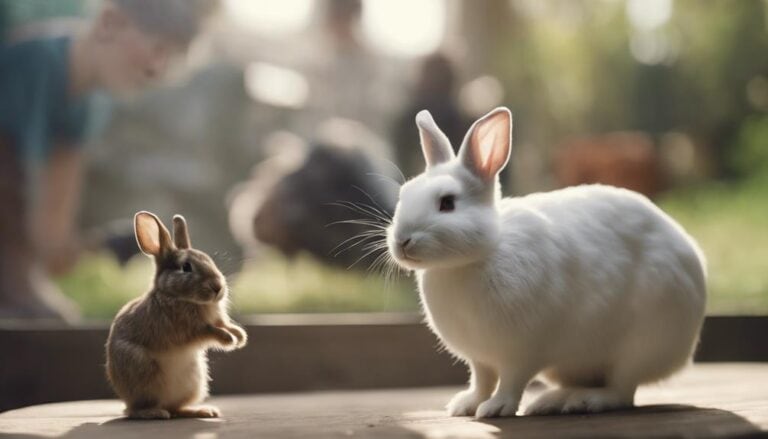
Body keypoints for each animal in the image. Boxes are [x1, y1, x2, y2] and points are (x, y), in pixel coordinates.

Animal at [105, 211, 247, 420]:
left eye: (209, 260)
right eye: (186, 267)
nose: (218, 287)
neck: (177, 296)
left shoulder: (217, 320)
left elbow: (224, 324)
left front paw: (240, 337)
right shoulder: (188, 330)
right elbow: (209, 331)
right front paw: (228, 339)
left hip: (194, 380)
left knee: (176, 408)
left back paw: (204, 411)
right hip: (143, 372)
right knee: (135, 410)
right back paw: (155, 413)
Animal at [386, 107, 706, 418]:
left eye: (447, 203)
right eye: (404, 194)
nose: (402, 241)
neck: (476, 257)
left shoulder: (521, 352)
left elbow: (510, 382)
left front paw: (495, 408)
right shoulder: (479, 358)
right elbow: (481, 380)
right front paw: (465, 405)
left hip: (638, 346)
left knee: (622, 391)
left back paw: (584, 401)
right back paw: (554, 401)